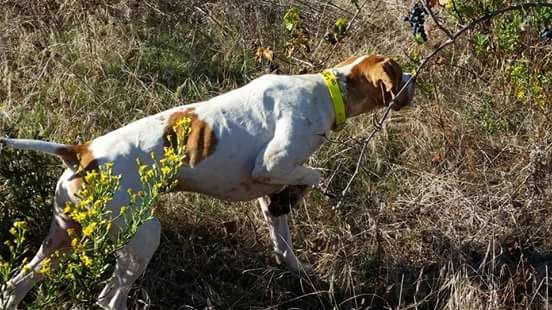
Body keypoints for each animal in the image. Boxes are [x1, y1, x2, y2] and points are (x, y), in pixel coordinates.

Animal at [0, 54, 414, 308]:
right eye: (399, 71)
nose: (415, 80)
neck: (325, 90)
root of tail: (81, 152)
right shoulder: (273, 164)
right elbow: (314, 174)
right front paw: (306, 190)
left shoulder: (271, 192)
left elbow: (283, 240)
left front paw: (295, 269)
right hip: (141, 234)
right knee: (109, 299)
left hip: (62, 239)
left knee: (16, 284)